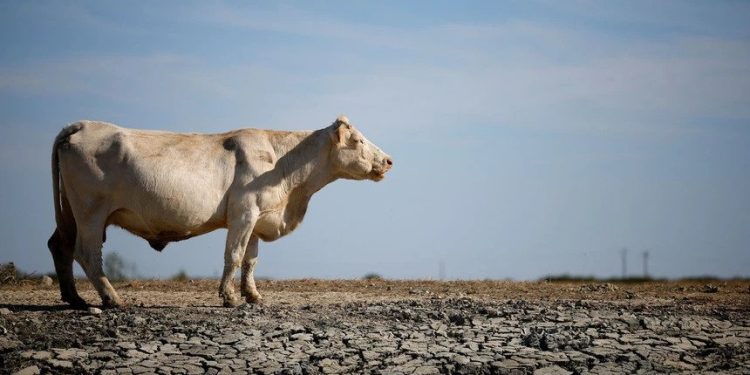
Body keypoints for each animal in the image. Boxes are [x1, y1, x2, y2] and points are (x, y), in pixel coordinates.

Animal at [47, 115, 396, 308]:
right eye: (357, 140)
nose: (389, 160)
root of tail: (81, 125)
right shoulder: (244, 212)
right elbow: (235, 255)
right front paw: (229, 297)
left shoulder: (257, 217)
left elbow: (251, 260)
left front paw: (253, 296)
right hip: (90, 212)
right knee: (87, 253)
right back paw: (111, 298)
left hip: (70, 214)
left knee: (59, 246)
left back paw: (75, 298)